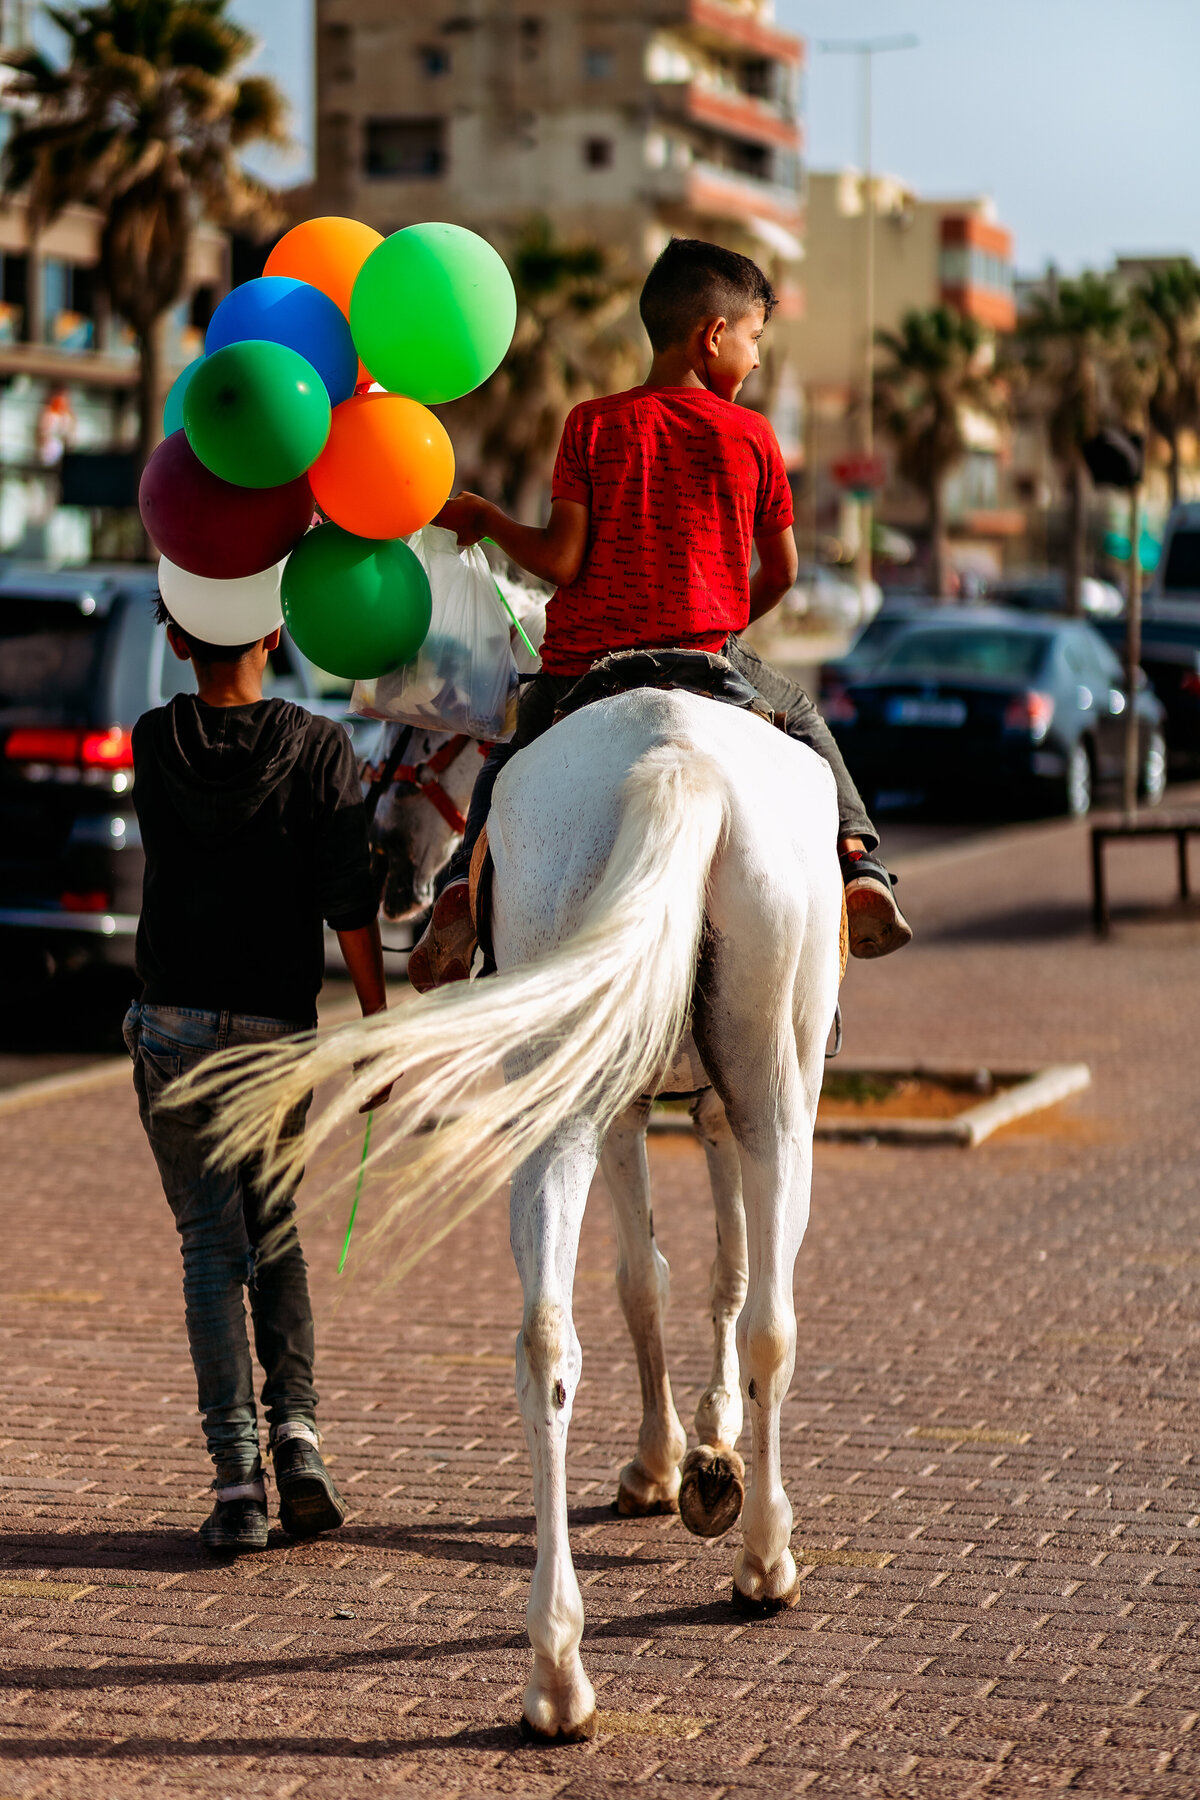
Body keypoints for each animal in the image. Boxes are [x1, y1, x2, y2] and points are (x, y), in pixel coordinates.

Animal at [201, 686, 841, 1741]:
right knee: (773, 1326)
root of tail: (677, 760)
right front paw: (688, 1460)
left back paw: (555, 1668)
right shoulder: (689, 1108)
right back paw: (763, 1561)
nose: (382, 850)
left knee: (548, 1342)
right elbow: (703, 1277)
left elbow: (663, 1279)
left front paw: (695, 1451)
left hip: (568, 1093)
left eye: (419, 731)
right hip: (777, 1094)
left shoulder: (654, 1104)